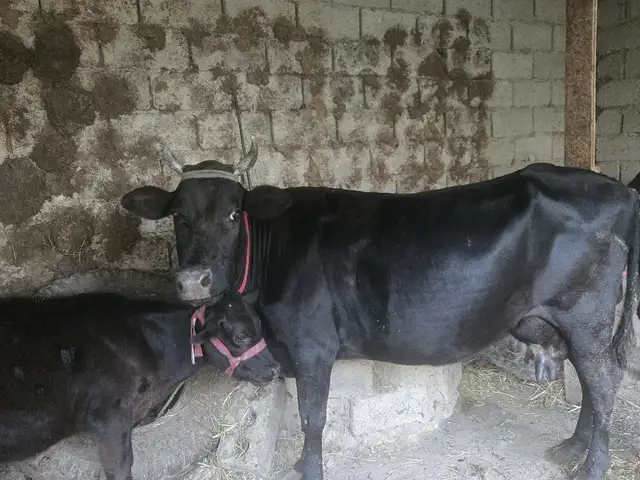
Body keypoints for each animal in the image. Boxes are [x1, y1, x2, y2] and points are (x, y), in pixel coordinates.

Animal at [121, 143, 640, 480]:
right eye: (178, 215)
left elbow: (313, 416)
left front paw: (309, 469)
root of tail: (616, 188)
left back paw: (591, 467)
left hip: (585, 315)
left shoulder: (312, 344)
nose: (194, 281)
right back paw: (571, 448)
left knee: (604, 381)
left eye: (233, 214)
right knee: (591, 381)